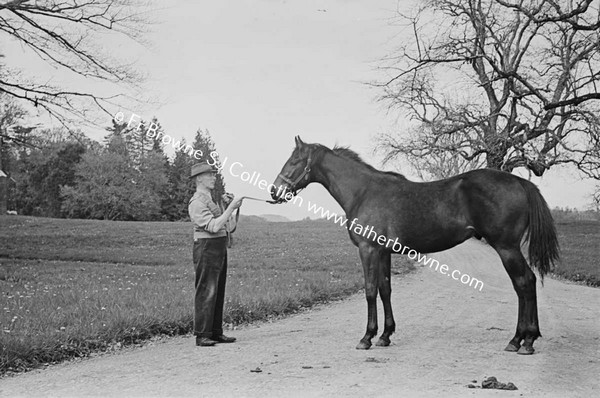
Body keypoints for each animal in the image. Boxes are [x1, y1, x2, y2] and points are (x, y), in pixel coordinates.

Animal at [270, 137, 560, 354]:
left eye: (294, 161)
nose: (274, 191)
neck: (363, 191)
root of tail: (521, 182)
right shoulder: (384, 252)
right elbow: (385, 290)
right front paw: (385, 335)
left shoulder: (368, 250)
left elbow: (370, 290)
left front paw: (366, 337)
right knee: (527, 283)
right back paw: (525, 339)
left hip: (506, 247)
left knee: (524, 283)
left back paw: (521, 341)